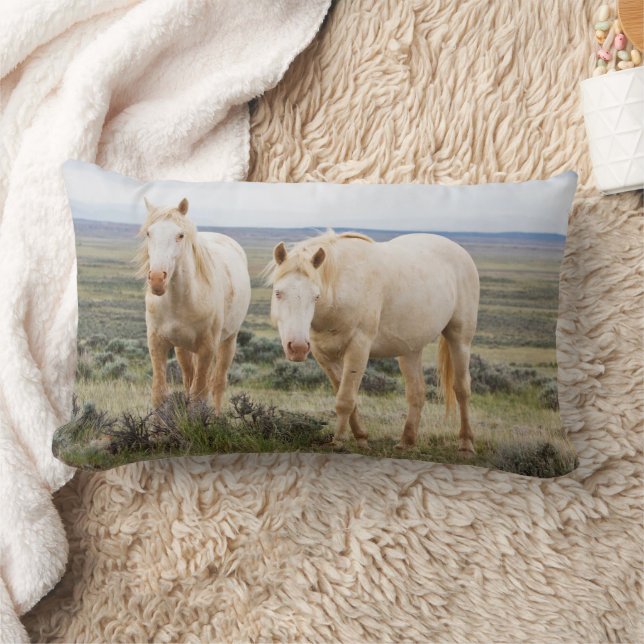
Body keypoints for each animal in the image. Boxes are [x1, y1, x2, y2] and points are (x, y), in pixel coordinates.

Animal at [136, 198, 251, 411]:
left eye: (180, 235)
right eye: (149, 233)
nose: (157, 279)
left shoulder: (207, 347)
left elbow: (199, 397)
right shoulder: (157, 343)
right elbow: (160, 394)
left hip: (229, 340)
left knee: (218, 383)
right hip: (183, 348)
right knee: (189, 377)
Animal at [263, 230, 480, 454]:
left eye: (316, 296)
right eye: (278, 292)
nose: (297, 348)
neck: (342, 288)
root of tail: (459, 249)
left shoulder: (358, 347)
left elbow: (345, 399)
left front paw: (338, 441)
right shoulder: (323, 354)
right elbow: (347, 396)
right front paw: (361, 437)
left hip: (460, 338)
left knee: (462, 389)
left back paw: (466, 443)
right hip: (410, 349)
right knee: (417, 392)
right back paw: (406, 441)